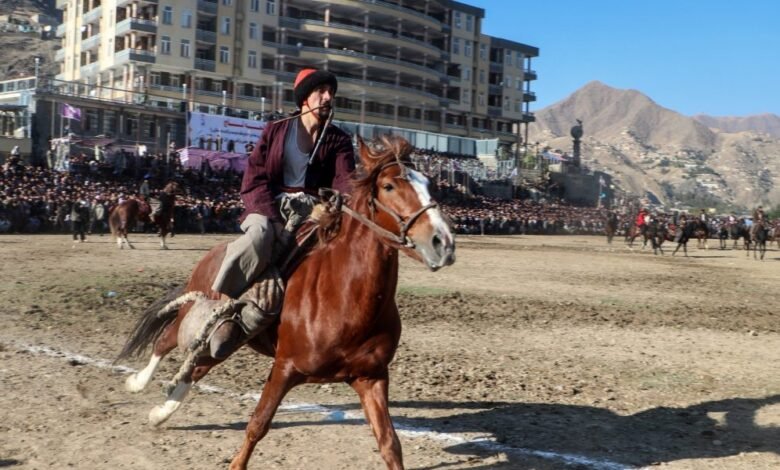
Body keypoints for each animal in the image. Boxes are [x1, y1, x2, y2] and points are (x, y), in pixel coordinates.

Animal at [116, 135, 456, 470]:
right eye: (388, 186)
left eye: (429, 183)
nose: (443, 243)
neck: (345, 300)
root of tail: (211, 255)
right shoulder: (284, 368)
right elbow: (258, 424)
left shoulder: (370, 377)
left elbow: (389, 444)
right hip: (196, 315)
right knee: (165, 340)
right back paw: (136, 383)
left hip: (225, 340)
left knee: (197, 367)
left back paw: (161, 412)